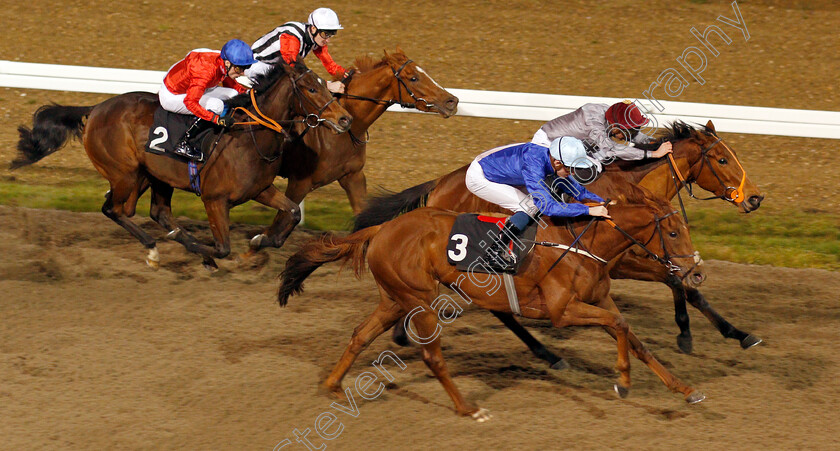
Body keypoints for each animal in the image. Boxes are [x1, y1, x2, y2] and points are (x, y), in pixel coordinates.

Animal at [11, 61, 352, 270]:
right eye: (311, 88)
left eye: (325, 85)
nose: (345, 119)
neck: (251, 136)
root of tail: (96, 108)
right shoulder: (214, 199)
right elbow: (222, 247)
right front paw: (208, 255)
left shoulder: (260, 189)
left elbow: (292, 213)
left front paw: (259, 241)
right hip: (125, 173)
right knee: (114, 209)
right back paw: (154, 249)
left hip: (151, 175)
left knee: (151, 211)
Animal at [236, 48, 460, 264]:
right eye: (413, 77)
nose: (452, 101)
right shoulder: (300, 182)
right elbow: (280, 224)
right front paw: (250, 251)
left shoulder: (353, 176)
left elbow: (363, 218)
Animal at [278, 185, 704, 418]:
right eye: (672, 232)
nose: (695, 273)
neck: (584, 242)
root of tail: (384, 227)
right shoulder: (562, 311)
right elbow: (620, 326)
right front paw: (624, 382)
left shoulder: (600, 299)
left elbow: (634, 336)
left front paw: (684, 389)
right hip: (420, 298)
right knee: (431, 355)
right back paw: (468, 408)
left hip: (394, 299)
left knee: (360, 335)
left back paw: (333, 385)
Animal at [352, 121, 764, 360]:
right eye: (723, 159)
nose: (756, 198)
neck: (628, 189)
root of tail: (439, 183)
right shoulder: (622, 259)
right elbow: (677, 280)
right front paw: (711, 332)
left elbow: (680, 280)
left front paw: (727, 333)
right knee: (497, 306)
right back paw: (543, 352)